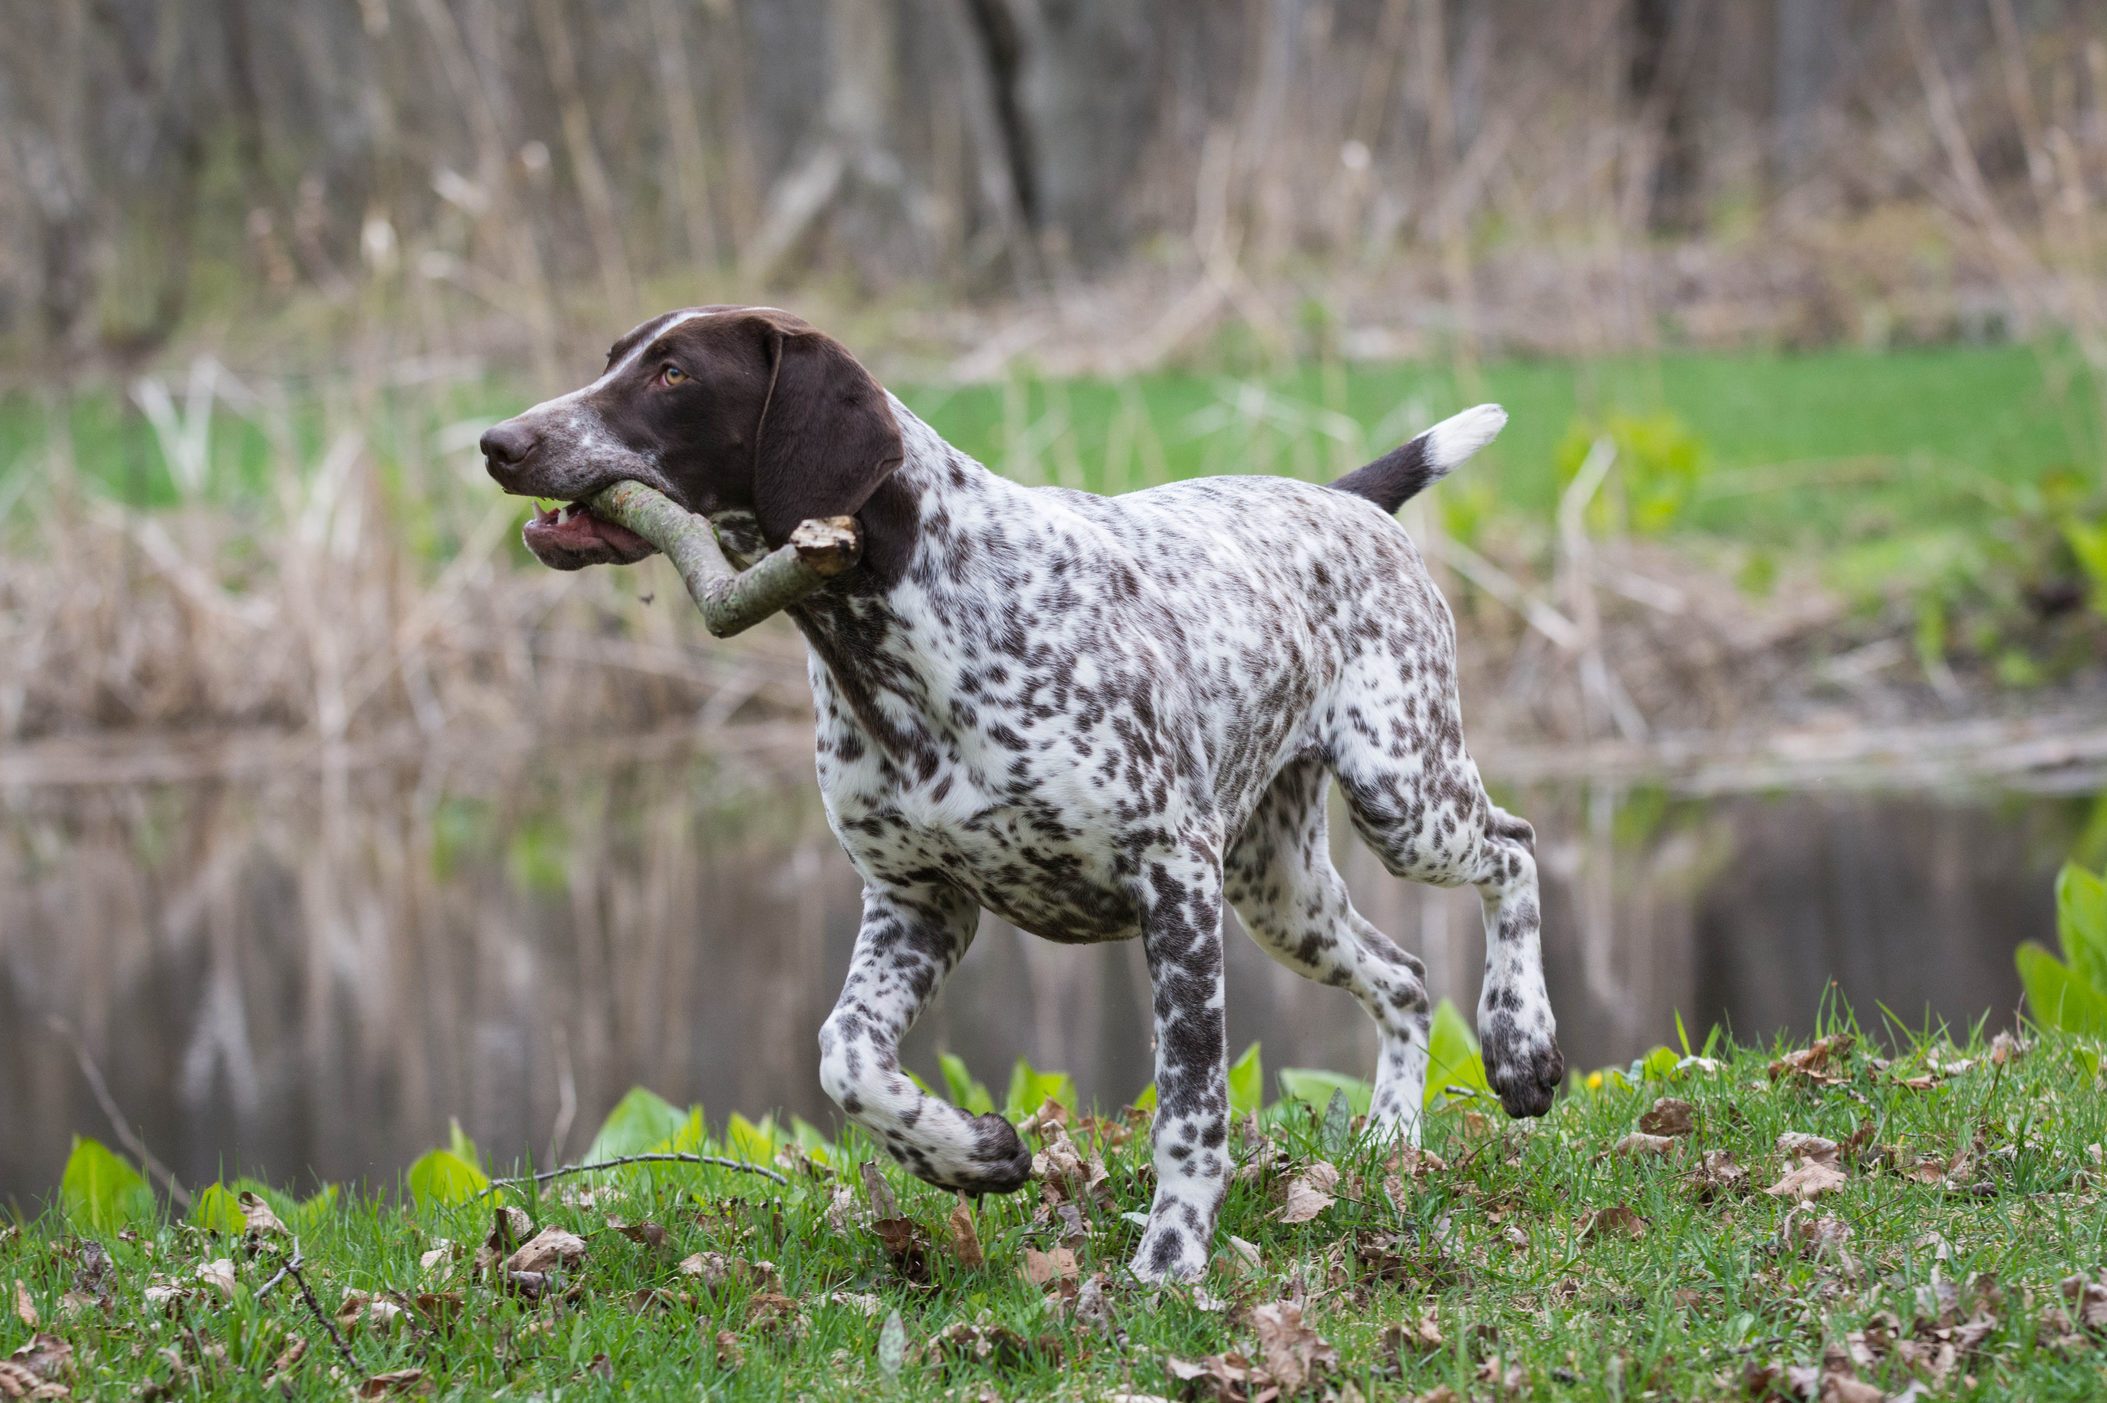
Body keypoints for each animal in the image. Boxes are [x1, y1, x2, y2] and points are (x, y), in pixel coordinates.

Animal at [482, 305, 1567, 1280]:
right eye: (613, 359)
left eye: (674, 374)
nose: (500, 442)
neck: (900, 625)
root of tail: (1345, 499)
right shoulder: (918, 903)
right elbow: (846, 1056)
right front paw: (966, 1153)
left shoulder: (1172, 881)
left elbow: (1189, 1103)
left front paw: (1170, 1260)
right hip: (1279, 889)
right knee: (1403, 975)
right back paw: (1389, 1136)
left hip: (1399, 796)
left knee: (1512, 849)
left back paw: (1520, 1044)